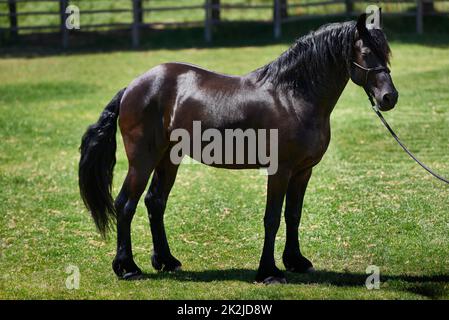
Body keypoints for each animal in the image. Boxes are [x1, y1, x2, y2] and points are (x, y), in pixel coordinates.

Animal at [79, 13, 398, 284]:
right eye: (366, 54)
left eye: (386, 53)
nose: (389, 97)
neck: (292, 96)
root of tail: (132, 87)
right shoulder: (280, 171)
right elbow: (272, 218)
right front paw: (269, 272)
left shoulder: (303, 171)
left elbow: (293, 215)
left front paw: (296, 261)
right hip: (142, 160)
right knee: (125, 204)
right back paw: (127, 268)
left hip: (168, 158)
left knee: (155, 202)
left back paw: (166, 261)